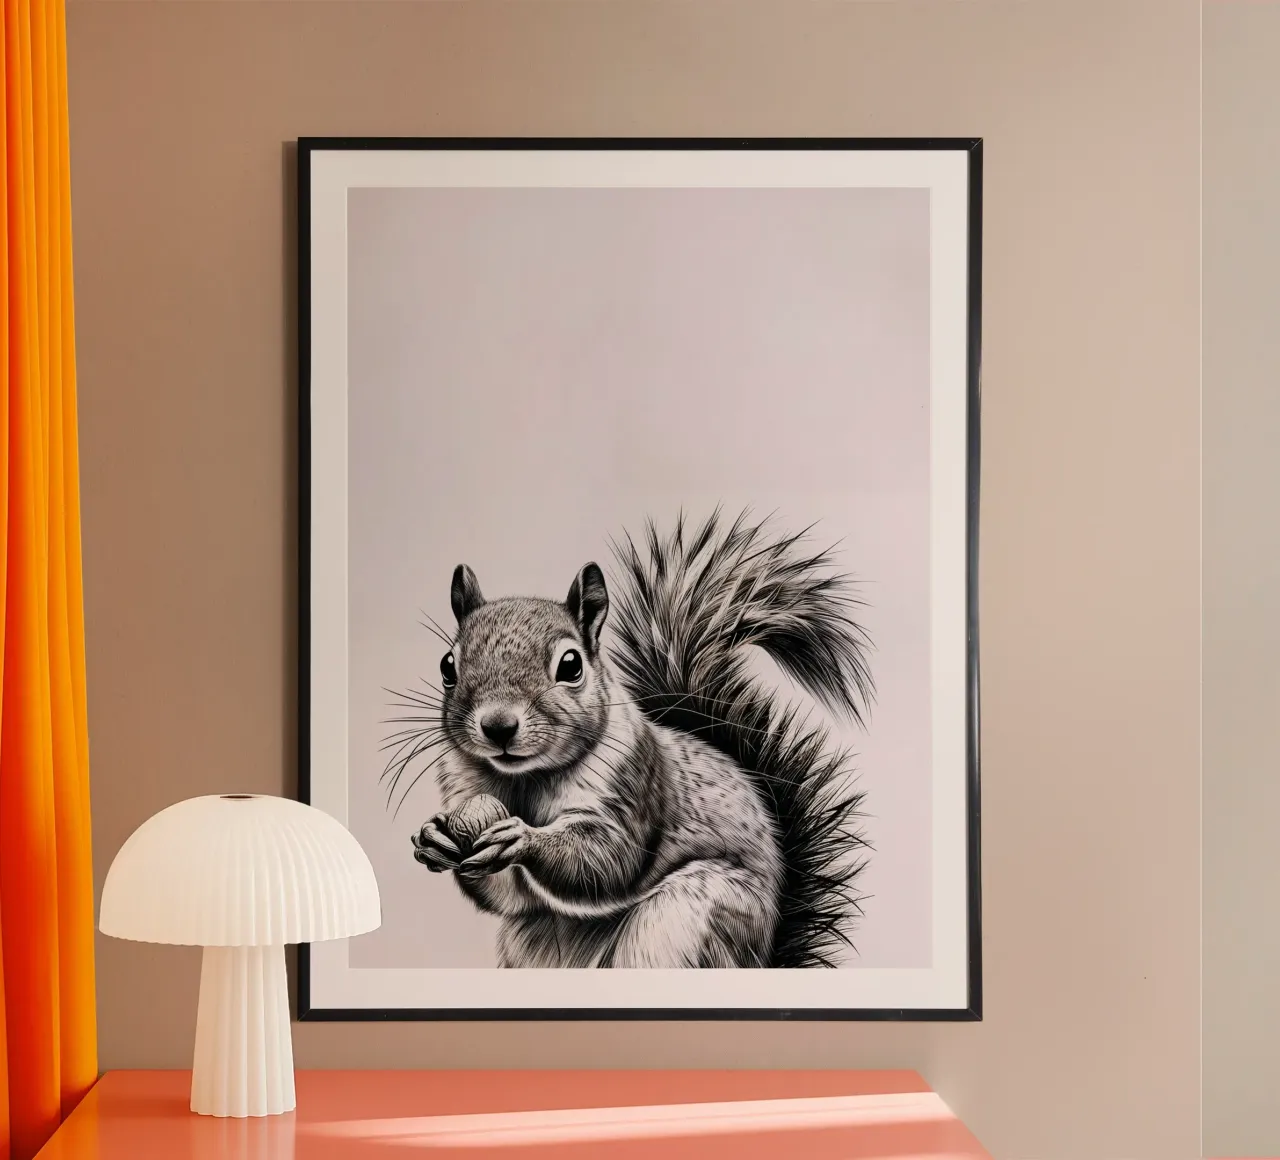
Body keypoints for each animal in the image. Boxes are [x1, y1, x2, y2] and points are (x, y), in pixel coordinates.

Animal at [400, 510, 874, 969]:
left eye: (571, 665)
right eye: (447, 666)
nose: (498, 726)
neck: (526, 778)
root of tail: (765, 957)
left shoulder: (634, 782)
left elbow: (609, 859)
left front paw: (521, 838)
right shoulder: (463, 785)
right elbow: (508, 895)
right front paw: (434, 836)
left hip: (690, 916)